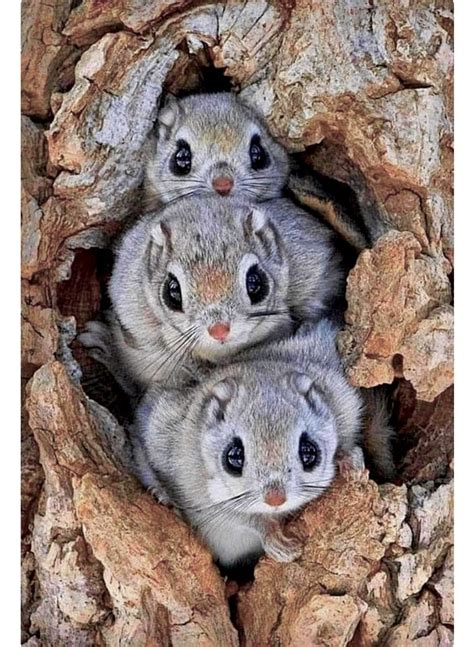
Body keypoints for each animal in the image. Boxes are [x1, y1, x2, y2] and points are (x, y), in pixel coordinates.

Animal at [131, 318, 370, 568]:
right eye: (234, 457)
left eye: (309, 452)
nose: (275, 499)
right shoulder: (193, 487)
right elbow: (248, 518)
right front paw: (279, 544)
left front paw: (350, 462)